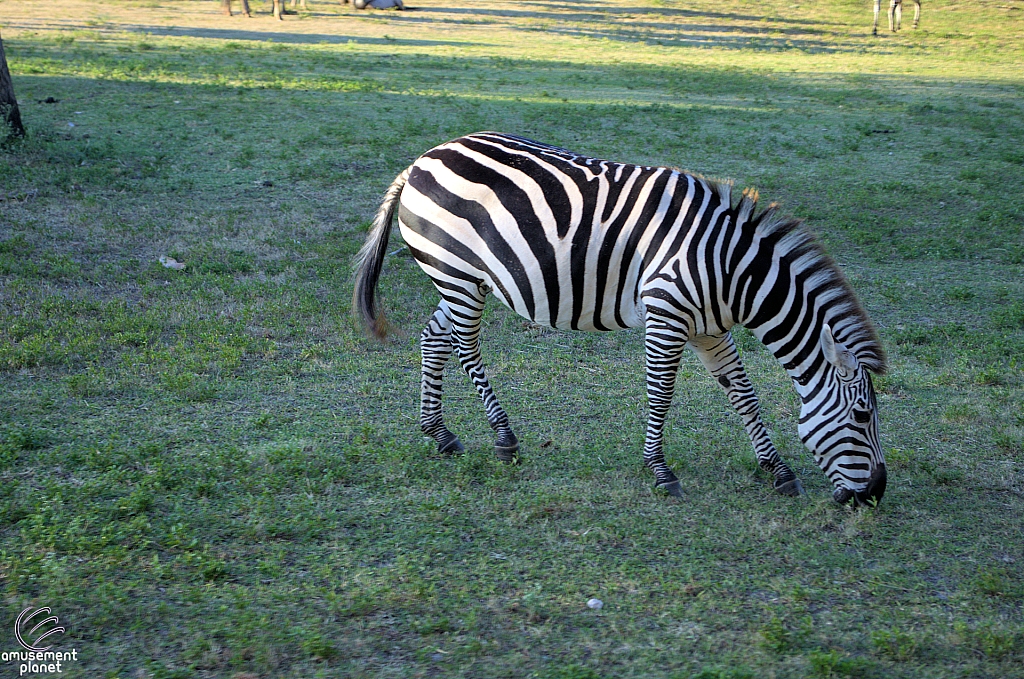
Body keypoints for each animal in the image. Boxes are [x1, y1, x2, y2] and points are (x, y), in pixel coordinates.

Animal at [354, 131, 888, 503]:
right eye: (863, 416)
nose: (875, 496)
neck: (730, 268)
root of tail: (423, 158)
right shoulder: (667, 314)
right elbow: (661, 395)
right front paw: (661, 472)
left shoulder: (711, 329)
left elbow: (744, 396)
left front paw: (777, 470)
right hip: (459, 275)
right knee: (465, 348)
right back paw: (503, 439)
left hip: (460, 278)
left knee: (434, 337)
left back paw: (440, 434)